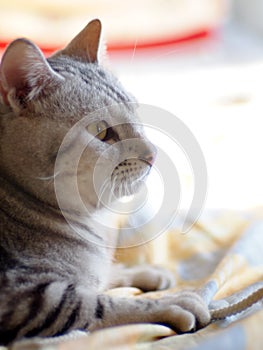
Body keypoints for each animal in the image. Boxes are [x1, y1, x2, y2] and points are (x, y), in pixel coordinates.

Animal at [0, 19, 210, 344]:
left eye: (136, 111)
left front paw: (143, 272)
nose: (153, 154)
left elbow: (103, 277)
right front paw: (174, 302)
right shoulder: (30, 299)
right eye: (102, 133)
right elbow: (106, 304)